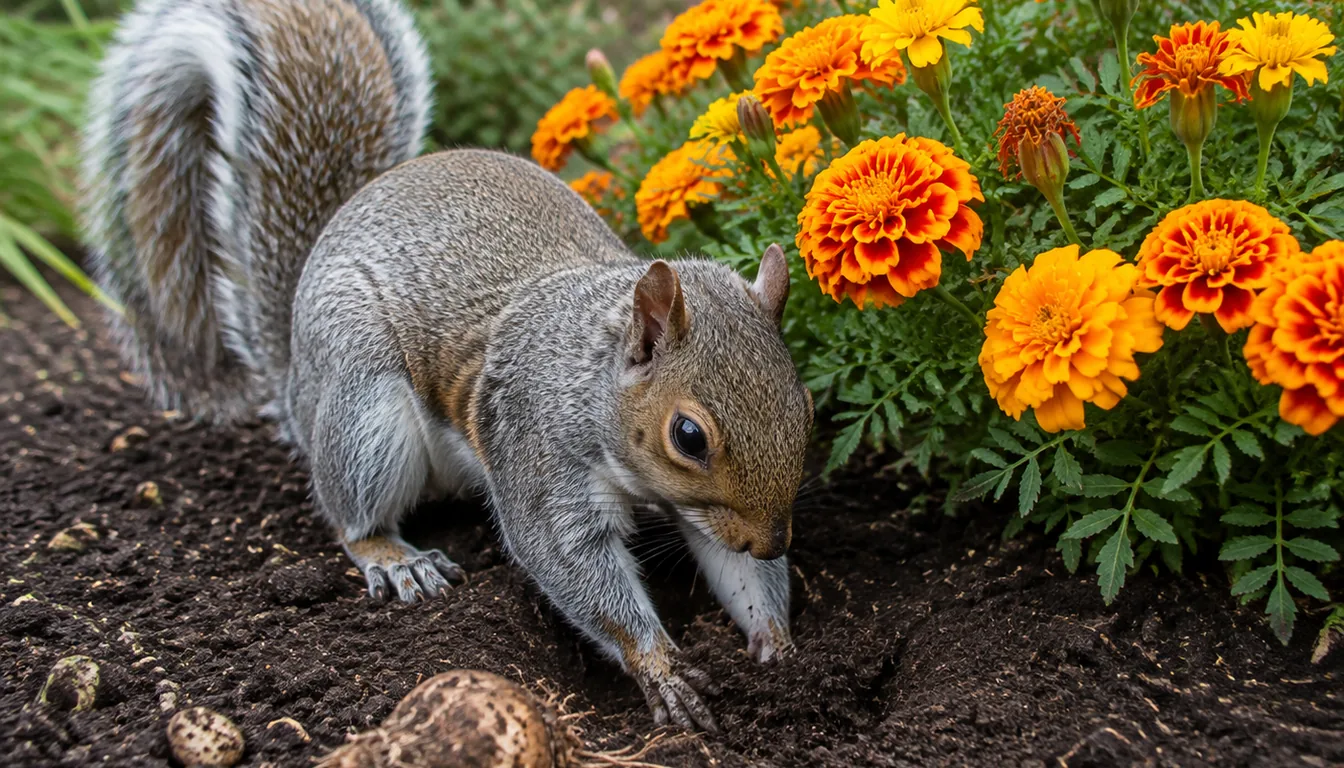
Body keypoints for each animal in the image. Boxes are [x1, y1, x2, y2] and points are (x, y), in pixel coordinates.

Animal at [81, 0, 813, 732]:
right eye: (687, 436)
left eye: (804, 404)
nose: (773, 543)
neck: (586, 373)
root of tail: (295, 381)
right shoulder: (538, 459)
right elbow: (570, 565)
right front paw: (659, 665)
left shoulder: (708, 510)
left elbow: (731, 567)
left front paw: (777, 641)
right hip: (364, 407)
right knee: (348, 514)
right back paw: (393, 559)